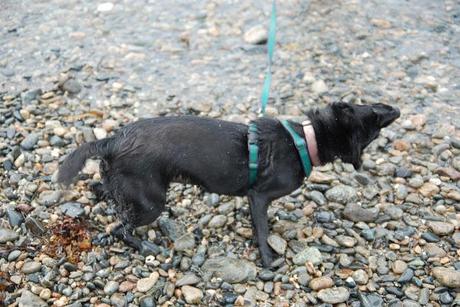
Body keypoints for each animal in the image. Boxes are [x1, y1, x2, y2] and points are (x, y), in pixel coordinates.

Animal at [58, 103, 398, 268]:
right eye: (375, 116)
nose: (396, 108)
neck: (306, 139)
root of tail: (113, 140)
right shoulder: (258, 197)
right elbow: (262, 232)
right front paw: (268, 260)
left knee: (105, 192)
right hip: (152, 202)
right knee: (120, 228)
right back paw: (146, 245)